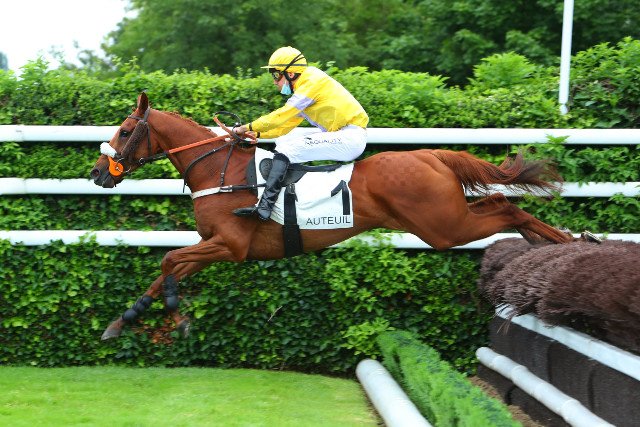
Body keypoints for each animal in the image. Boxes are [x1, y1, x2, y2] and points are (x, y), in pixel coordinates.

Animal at [90, 92, 574, 340]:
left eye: (126, 130)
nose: (97, 172)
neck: (219, 172)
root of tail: (431, 155)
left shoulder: (231, 245)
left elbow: (169, 261)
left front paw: (178, 316)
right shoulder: (214, 246)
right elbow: (166, 267)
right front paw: (123, 319)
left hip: (443, 227)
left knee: (506, 207)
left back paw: (566, 244)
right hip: (446, 218)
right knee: (501, 204)